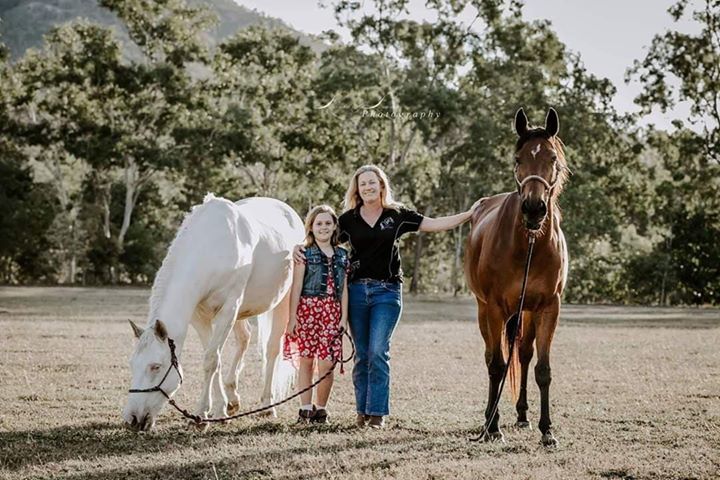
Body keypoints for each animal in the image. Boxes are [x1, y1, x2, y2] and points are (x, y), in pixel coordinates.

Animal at [122, 195, 302, 432]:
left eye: (155, 367)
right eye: (132, 365)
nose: (133, 419)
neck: (211, 249)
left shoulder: (228, 310)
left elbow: (211, 360)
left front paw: (201, 415)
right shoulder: (201, 317)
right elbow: (214, 358)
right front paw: (220, 410)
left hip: (282, 303)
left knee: (272, 350)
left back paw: (267, 405)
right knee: (244, 339)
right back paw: (233, 398)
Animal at [466, 108, 568, 446]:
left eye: (552, 157)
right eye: (518, 158)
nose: (534, 208)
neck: (530, 246)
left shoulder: (549, 307)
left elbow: (542, 368)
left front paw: (547, 429)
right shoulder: (496, 308)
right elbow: (497, 365)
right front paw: (493, 427)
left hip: (526, 312)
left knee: (523, 354)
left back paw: (523, 415)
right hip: (485, 310)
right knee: (491, 359)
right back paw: (490, 419)